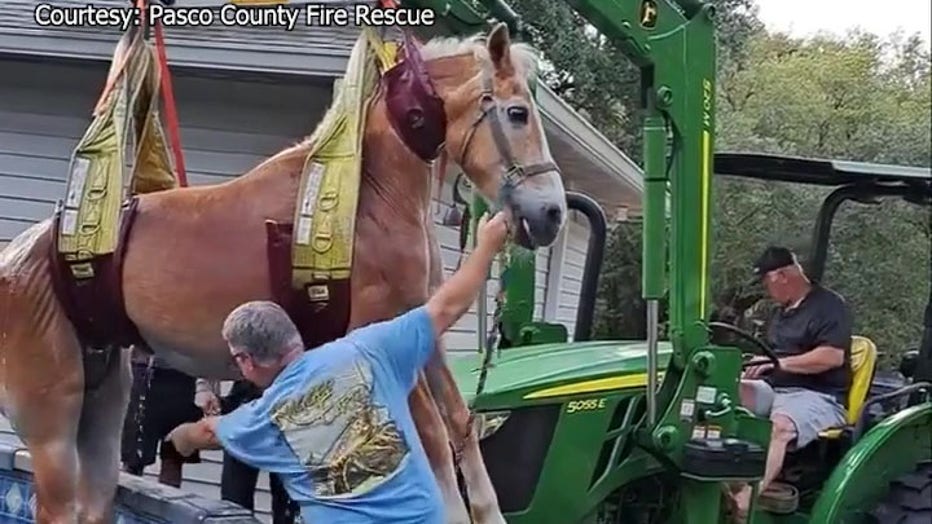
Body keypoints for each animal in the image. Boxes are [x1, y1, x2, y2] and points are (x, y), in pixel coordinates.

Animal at [0, 22, 568, 520]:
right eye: (517, 113)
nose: (552, 214)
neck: (368, 196)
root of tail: (17, 259)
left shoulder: (418, 326)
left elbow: (460, 426)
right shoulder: (376, 330)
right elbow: (432, 443)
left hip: (101, 402)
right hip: (53, 425)